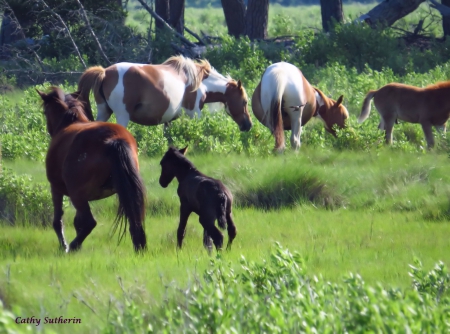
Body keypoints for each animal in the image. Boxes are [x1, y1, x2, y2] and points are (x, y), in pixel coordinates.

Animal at [37, 86, 146, 253]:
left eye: (45, 111)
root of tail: (113, 139)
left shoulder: (56, 188)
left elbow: (58, 219)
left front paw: (64, 245)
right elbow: (77, 222)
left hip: (77, 195)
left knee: (90, 222)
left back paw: (73, 246)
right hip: (125, 189)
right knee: (134, 217)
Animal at [78, 55, 253, 131]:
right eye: (244, 102)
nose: (248, 125)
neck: (201, 83)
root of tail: (105, 72)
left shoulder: (167, 120)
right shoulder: (194, 113)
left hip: (103, 112)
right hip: (122, 116)